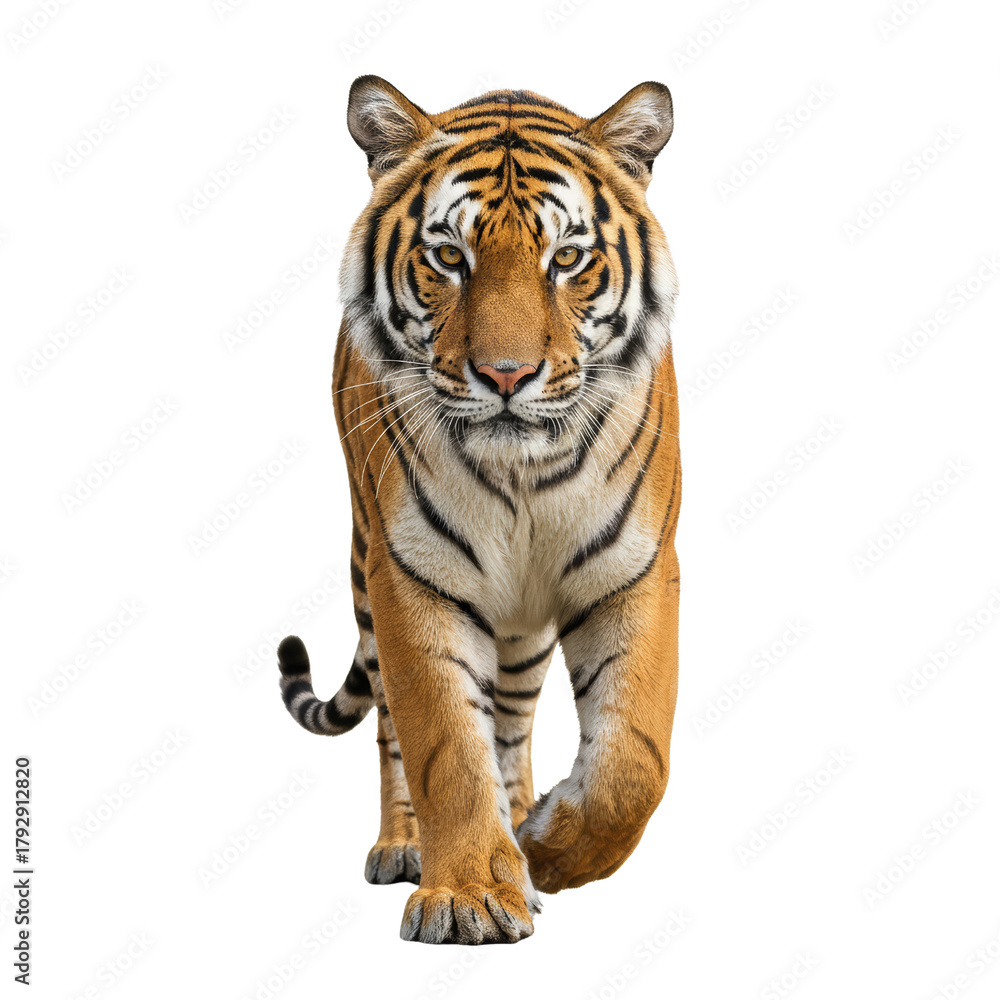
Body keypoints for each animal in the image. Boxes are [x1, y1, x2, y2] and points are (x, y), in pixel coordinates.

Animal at [277, 75, 681, 945]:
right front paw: (466, 896)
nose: (505, 375)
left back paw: (521, 822)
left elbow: (635, 760)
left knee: (513, 722)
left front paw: (550, 850)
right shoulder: (412, 578)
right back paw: (405, 845)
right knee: (393, 725)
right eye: (448, 257)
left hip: (522, 629)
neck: (525, 472)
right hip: (368, 572)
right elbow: (442, 746)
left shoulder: (633, 571)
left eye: (567, 258)